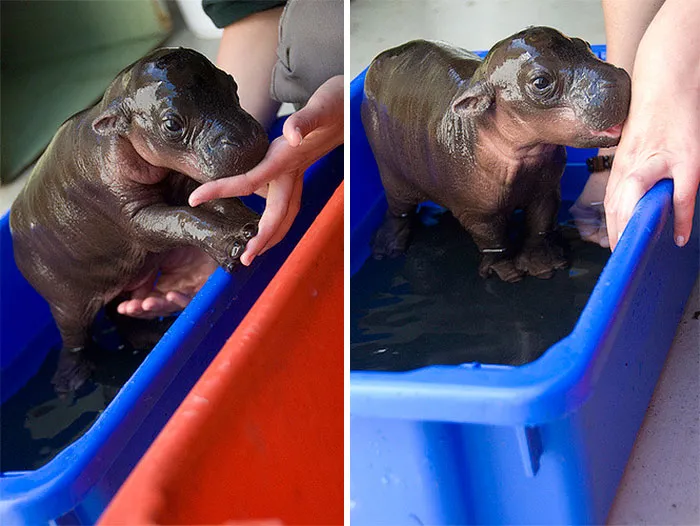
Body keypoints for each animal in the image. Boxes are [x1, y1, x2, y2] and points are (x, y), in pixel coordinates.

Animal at [10, 47, 268, 393]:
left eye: (232, 83)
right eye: (171, 124)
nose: (247, 141)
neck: (115, 127)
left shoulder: (184, 179)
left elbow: (211, 201)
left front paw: (252, 222)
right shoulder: (133, 215)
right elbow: (181, 217)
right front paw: (235, 244)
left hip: (120, 278)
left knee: (117, 312)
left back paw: (149, 336)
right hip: (64, 302)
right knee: (74, 339)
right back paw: (71, 381)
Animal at [362, 27, 630, 282]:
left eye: (583, 44)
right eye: (540, 82)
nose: (620, 78)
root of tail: (380, 57)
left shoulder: (546, 190)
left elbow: (540, 225)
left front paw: (543, 263)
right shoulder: (477, 213)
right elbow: (493, 242)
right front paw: (507, 272)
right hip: (393, 176)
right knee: (398, 211)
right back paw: (386, 248)